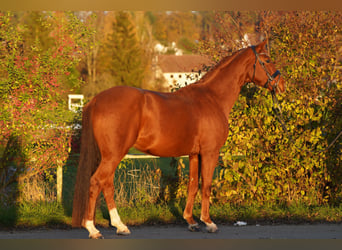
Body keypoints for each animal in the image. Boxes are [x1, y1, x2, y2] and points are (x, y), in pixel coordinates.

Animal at [71, 40, 286, 238]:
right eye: (267, 60)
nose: (282, 85)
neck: (212, 98)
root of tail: (96, 100)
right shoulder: (210, 152)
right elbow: (206, 186)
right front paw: (208, 222)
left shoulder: (194, 154)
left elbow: (192, 185)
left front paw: (191, 221)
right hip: (114, 154)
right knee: (97, 182)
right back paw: (92, 229)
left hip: (111, 155)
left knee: (107, 184)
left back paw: (120, 226)